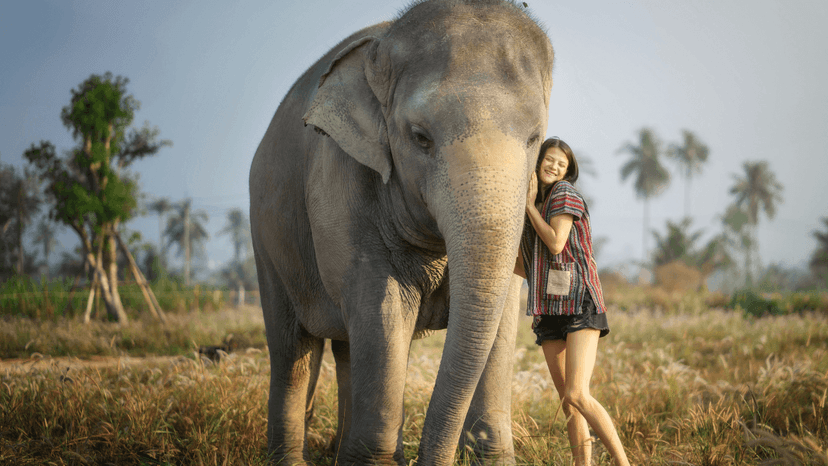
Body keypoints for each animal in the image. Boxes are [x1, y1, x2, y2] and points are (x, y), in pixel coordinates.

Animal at [249, 0, 553, 464]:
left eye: (535, 138)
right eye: (420, 138)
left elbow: (499, 314)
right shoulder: (344, 183)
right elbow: (382, 307)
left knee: (346, 348)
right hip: (266, 241)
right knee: (293, 349)